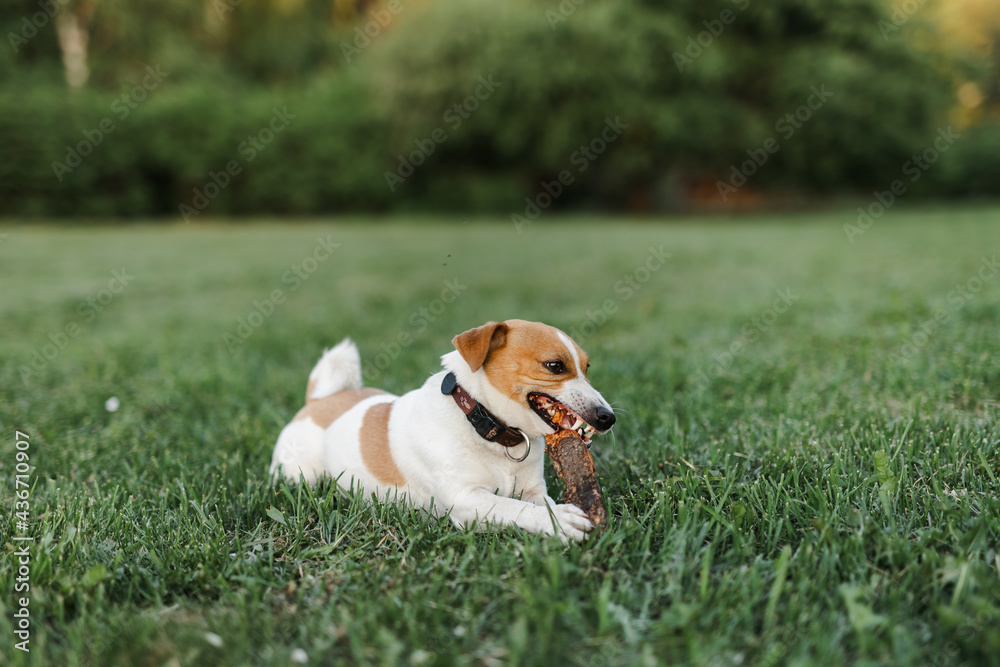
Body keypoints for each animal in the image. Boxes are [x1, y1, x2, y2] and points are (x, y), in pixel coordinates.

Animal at [270, 320, 612, 544]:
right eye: (555, 365)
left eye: (587, 367)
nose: (608, 418)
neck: (485, 424)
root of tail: (319, 400)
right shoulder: (465, 500)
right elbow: (513, 507)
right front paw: (559, 522)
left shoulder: (533, 491)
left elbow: (536, 502)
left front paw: (559, 514)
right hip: (299, 474)